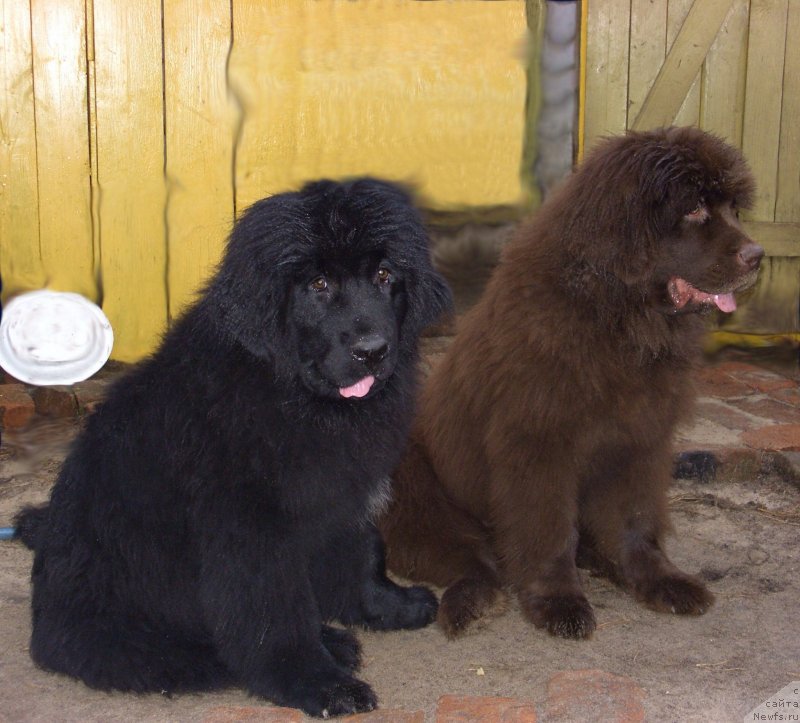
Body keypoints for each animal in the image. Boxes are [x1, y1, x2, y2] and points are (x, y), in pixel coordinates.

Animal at [14, 177, 450, 720]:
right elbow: (273, 611)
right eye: (318, 285)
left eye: (385, 275)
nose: (371, 351)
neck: (295, 396)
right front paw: (318, 683)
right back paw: (330, 645)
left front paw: (390, 606)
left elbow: (364, 551)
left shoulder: (342, 489)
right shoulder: (249, 527)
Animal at [382, 126, 764, 640]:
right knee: (474, 561)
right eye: (694, 209)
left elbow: (634, 521)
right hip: (421, 498)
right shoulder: (539, 446)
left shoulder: (639, 443)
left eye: (733, 209)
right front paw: (558, 602)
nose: (757, 255)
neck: (617, 318)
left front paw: (660, 581)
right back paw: (473, 604)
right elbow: (549, 530)